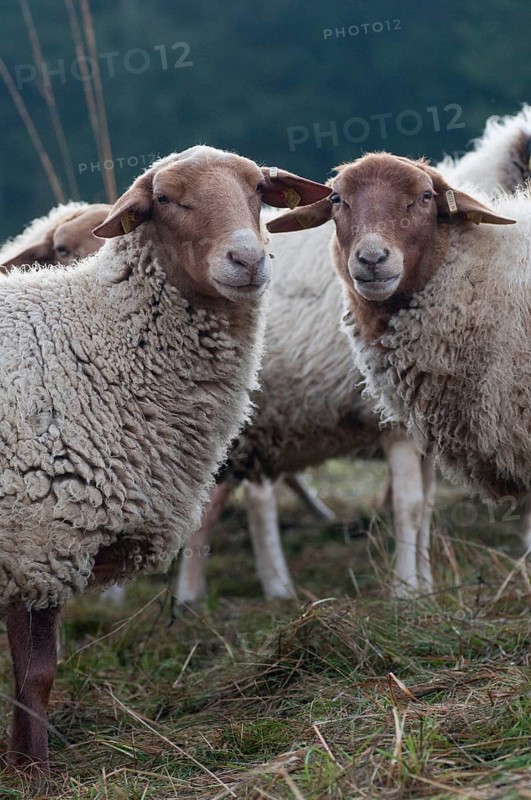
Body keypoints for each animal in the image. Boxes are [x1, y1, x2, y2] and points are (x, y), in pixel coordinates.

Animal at [0, 144, 331, 772]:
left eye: (259, 190)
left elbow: (31, 676)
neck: (94, 340)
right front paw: (34, 773)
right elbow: (35, 677)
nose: (248, 259)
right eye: (166, 200)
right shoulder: (38, 542)